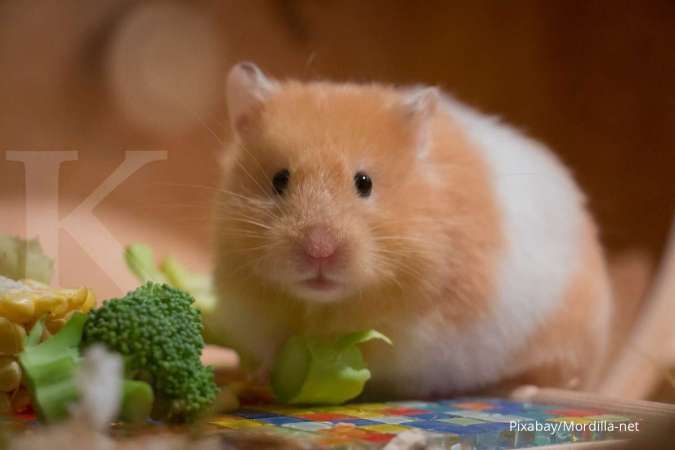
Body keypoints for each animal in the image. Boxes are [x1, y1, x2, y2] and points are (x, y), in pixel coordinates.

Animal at [211, 62, 612, 398]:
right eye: (279, 180)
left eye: (364, 182)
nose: (319, 251)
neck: (322, 305)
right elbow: (272, 348)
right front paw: (266, 376)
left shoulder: (425, 334)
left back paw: (520, 390)